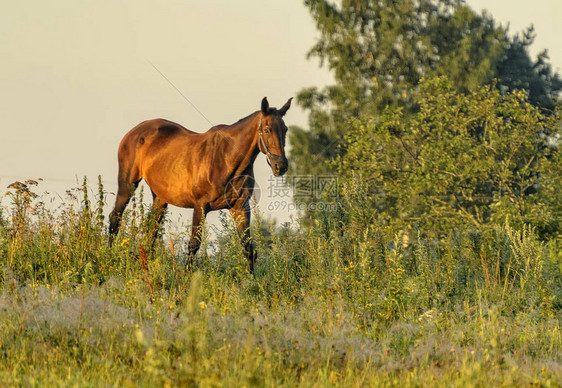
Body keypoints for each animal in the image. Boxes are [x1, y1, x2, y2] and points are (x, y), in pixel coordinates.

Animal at [110, 97, 294, 272]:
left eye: (285, 129)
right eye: (267, 129)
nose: (281, 166)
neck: (226, 158)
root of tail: (135, 131)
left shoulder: (241, 207)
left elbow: (247, 247)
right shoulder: (200, 206)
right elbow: (194, 244)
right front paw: (186, 277)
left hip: (160, 198)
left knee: (151, 229)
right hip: (128, 185)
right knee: (115, 218)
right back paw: (108, 257)